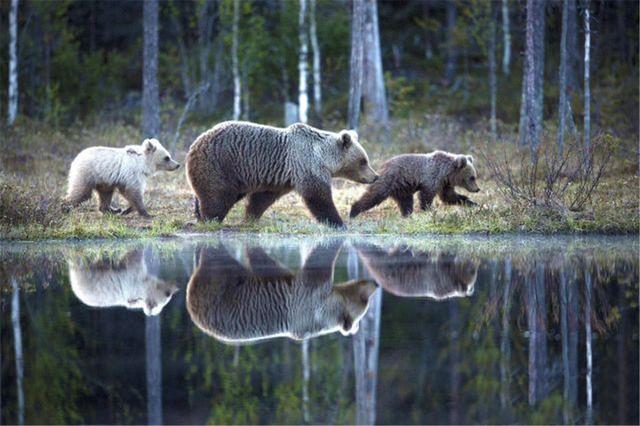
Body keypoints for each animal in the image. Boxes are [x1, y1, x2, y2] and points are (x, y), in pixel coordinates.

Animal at [185, 120, 378, 226]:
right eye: (363, 161)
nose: (375, 176)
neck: (324, 158)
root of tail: (195, 143)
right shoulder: (306, 166)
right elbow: (318, 197)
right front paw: (338, 222)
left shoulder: (279, 178)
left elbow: (261, 199)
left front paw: (250, 217)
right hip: (221, 165)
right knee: (217, 196)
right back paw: (209, 219)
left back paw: (198, 214)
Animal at [350, 151, 480, 218]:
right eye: (472, 177)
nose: (477, 189)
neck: (446, 172)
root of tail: (383, 165)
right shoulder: (431, 178)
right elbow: (426, 196)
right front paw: (428, 210)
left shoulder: (444, 184)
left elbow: (449, 196)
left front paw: (472, 203)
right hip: (390, 180)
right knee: (374, 195)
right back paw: (353, 211)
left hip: (403, 188)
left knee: (406, 202)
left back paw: (407, 215)